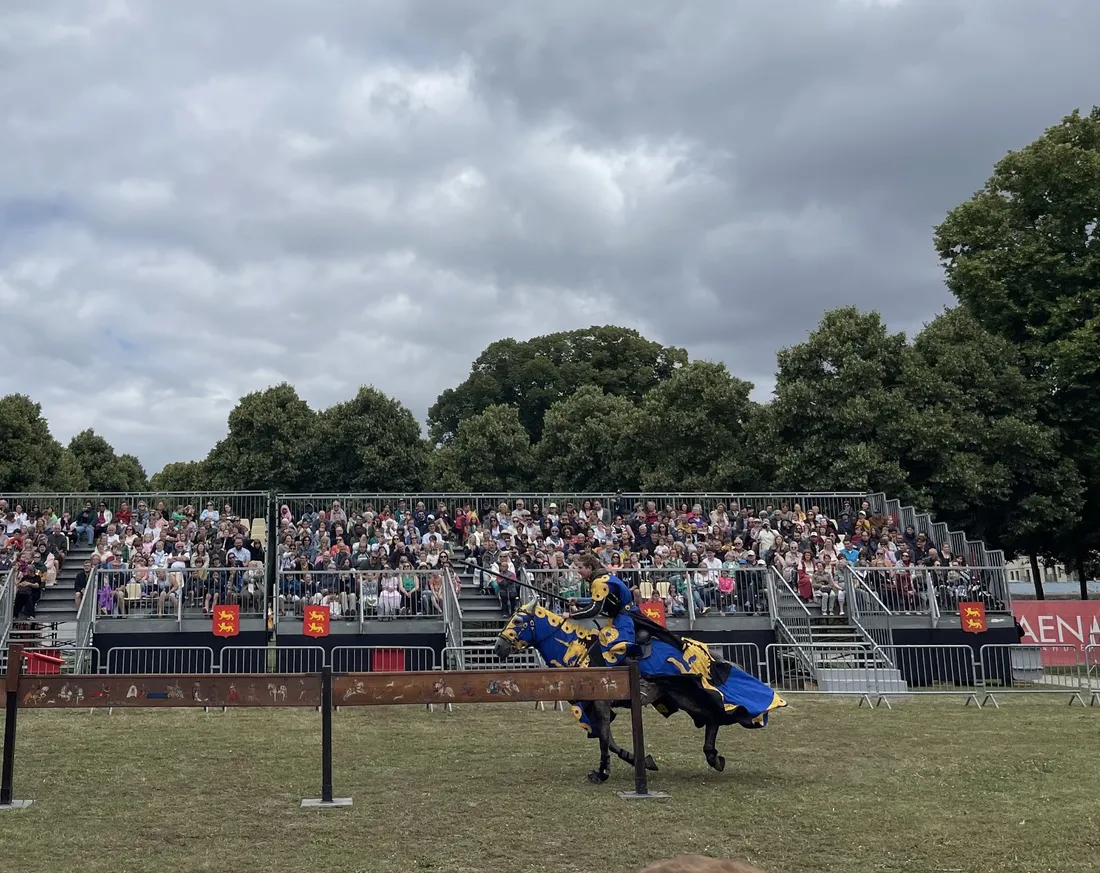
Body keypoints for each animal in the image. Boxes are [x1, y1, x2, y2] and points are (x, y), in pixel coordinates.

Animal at [495, 598, 787, 782]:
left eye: (518, 621)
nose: (498, 647)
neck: (578, 649)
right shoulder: (593, 706)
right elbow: (610, 740)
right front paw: (641, 760)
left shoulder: (600, 704)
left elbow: (605, 739)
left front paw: (602, 773)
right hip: (683, 696)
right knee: (712, 718)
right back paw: (713, 757)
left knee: (716, 714)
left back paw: (713, 756)